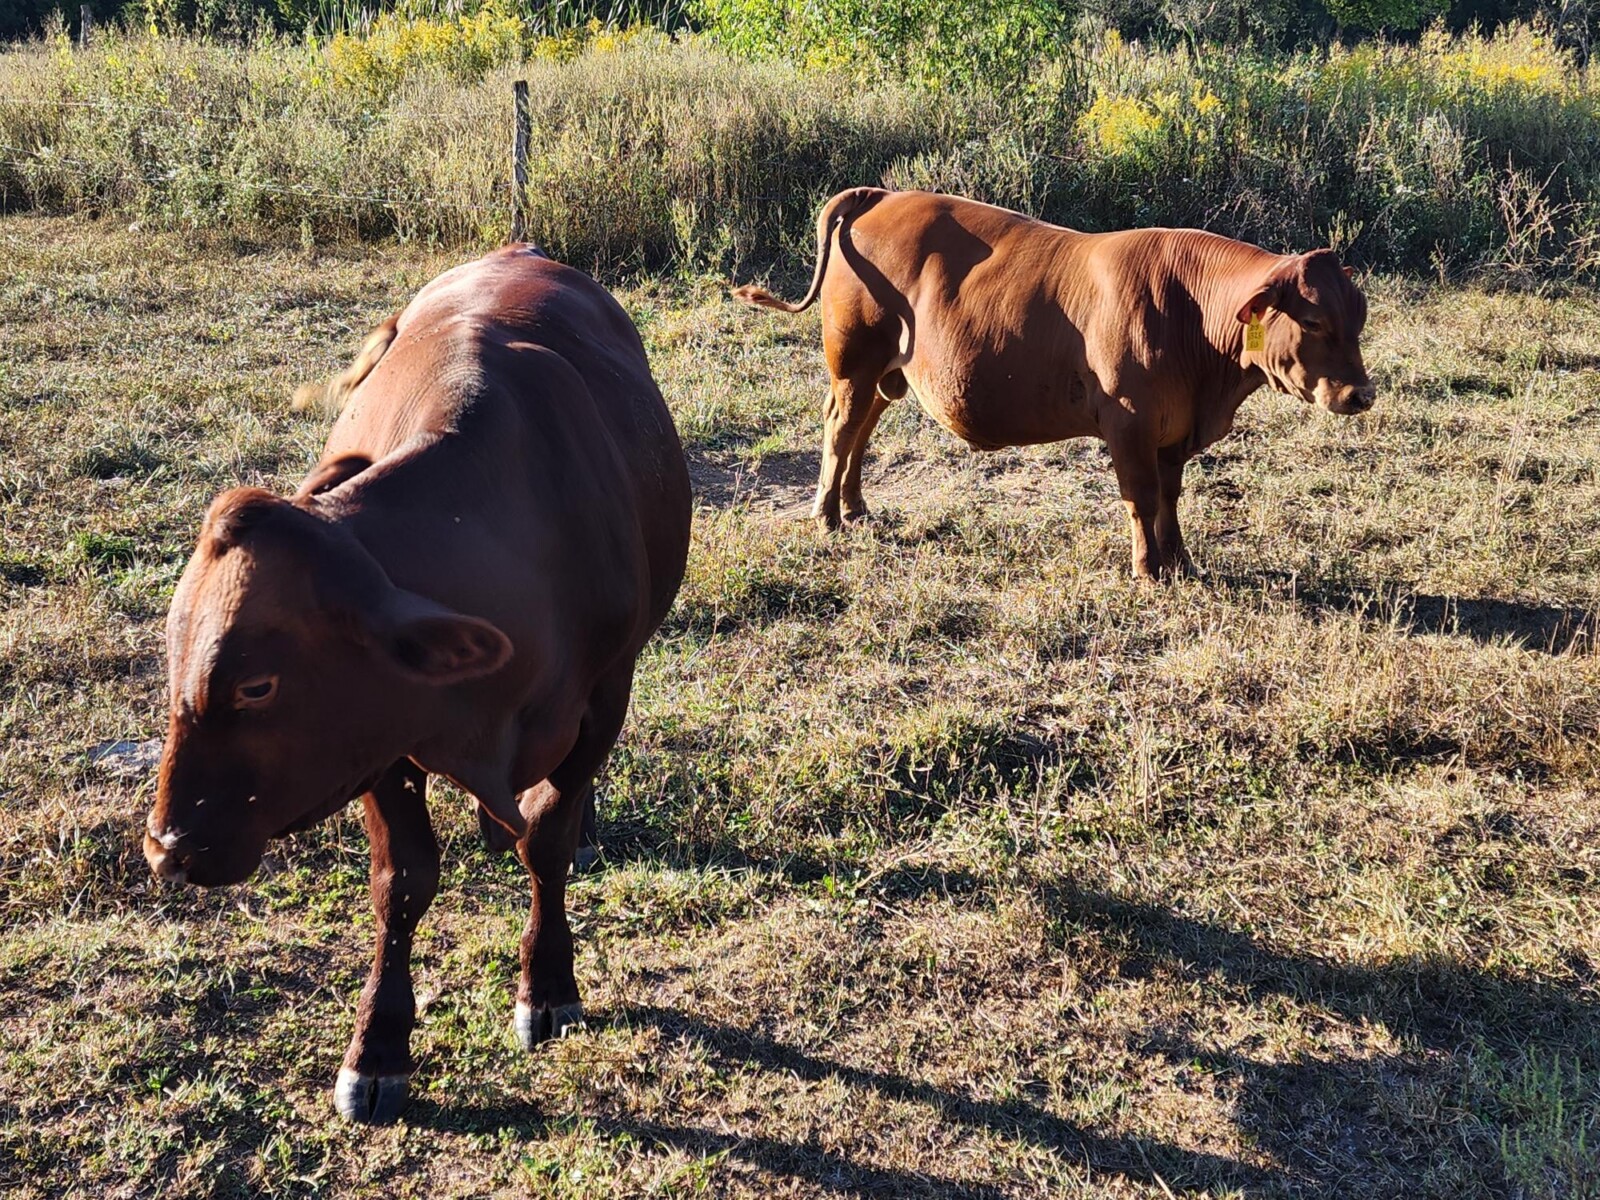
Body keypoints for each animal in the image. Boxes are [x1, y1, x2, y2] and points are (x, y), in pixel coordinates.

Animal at [142, 244, 691, 1124]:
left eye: (258, 686)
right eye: (173, 658)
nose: (167, 848)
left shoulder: (607, 693)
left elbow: (547, 838)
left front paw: (549, 984)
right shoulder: (379, 741)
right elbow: (403, 882)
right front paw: (378, 1048)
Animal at [732, 187, 1375, 579]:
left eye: (1360, 317)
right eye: (1313, 321)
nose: (1361, 395)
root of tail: (885, 194)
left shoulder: (1172, 431)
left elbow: (1170, 497)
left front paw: (1181, 562)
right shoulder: (1129, 424)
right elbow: (1142, 498)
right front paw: (1149, 570)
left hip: (887, 372)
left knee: (862, 430)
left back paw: (856, 507)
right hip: (854, 363)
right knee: (841, 428)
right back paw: (826, 516)